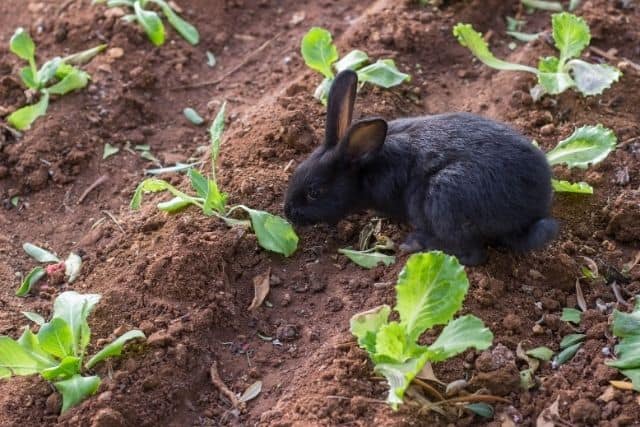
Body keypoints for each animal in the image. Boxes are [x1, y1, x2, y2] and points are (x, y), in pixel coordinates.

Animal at [284, 70, 558, 265]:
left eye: (315, 192)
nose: (288, 213)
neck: (368, 167)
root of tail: (532, 212)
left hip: (444, 196)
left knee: (471, 255)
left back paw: (416, 244)